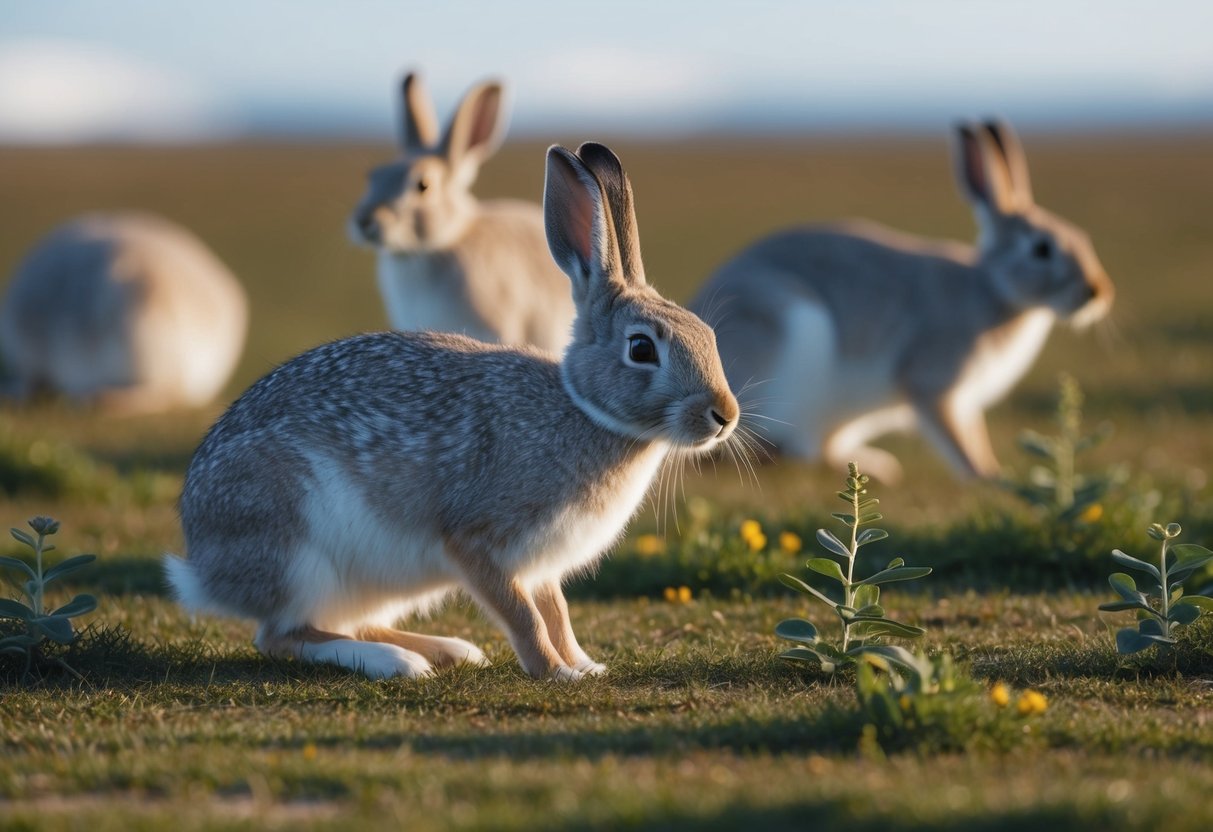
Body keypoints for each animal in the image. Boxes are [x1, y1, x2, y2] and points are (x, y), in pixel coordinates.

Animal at [165, 142, 740, 681]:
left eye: (708, 335)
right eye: (642, 349)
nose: (724, 416)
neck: (586, 410)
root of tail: (203, 564)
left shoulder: (540, 567)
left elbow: (557, 614)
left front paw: (585, 665)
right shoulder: (478, 543)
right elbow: (526, 618)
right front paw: (555, 672)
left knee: (342, 622)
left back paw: (448, 650)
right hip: (300, 555)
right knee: (282, 635)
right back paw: (396, 663)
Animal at [691, 120, 1114, 483]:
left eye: (1082, 237)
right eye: (1042, 249)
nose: (1098, 292)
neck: (994, 288)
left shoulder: (966, 400)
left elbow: (974, 435)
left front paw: (994, 472)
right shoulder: (935, 385)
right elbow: (957, 440)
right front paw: (987, 478)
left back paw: (878, 468)